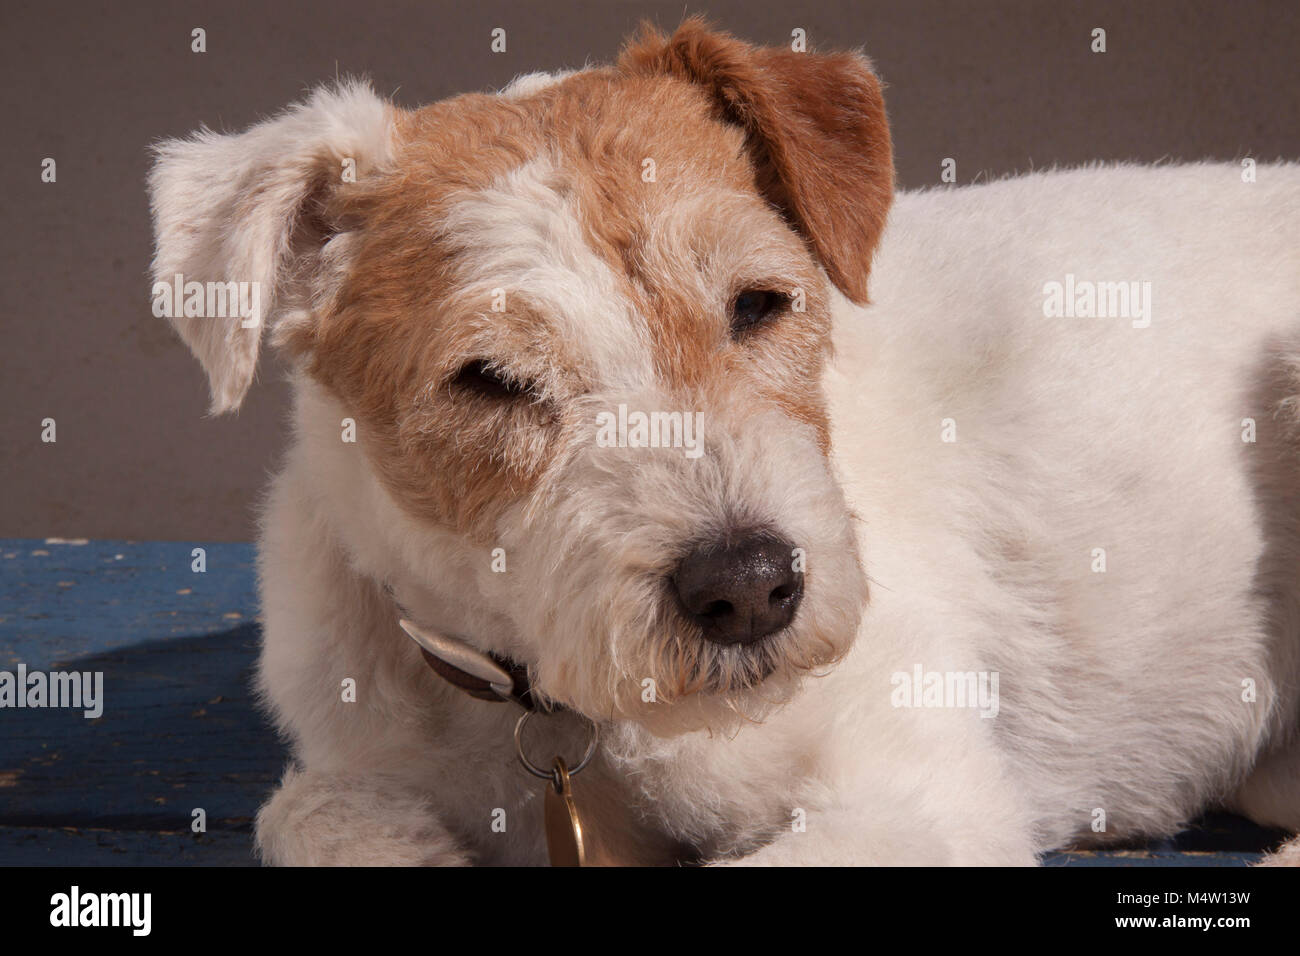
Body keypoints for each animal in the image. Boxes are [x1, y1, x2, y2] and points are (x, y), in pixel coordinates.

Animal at [147, 18, 1294, 863]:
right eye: (489, 380)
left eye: (758, 303)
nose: (748, 589)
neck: (565, 709)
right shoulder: (360, 755)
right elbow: (310, 810)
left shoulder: (913, 797)